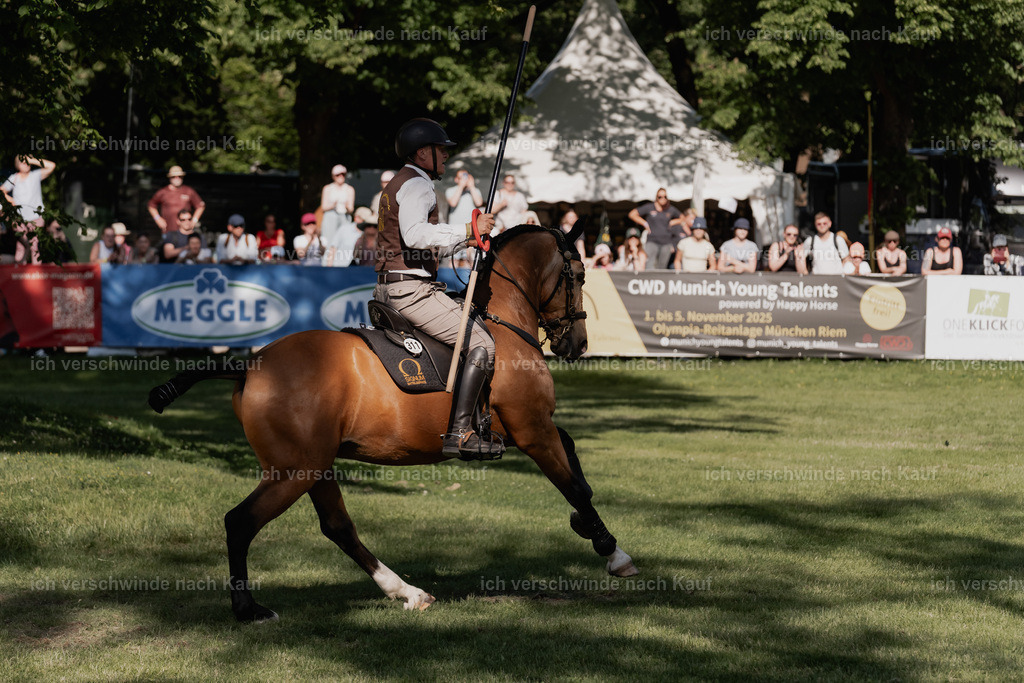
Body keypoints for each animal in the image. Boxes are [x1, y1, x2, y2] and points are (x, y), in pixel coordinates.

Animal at [148, 223, 638, 622]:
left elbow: (574, 462)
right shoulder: (533, 431)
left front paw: (585, 525)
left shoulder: (526, 429)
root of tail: (250, 366)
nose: (578, 344)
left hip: (314, 466)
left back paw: (406, 592)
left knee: (338, 527)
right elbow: (574, 486)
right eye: (579, 275)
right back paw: (247, 608)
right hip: (294, 471)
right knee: (241, 522)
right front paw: (613, 553)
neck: (504, 323)